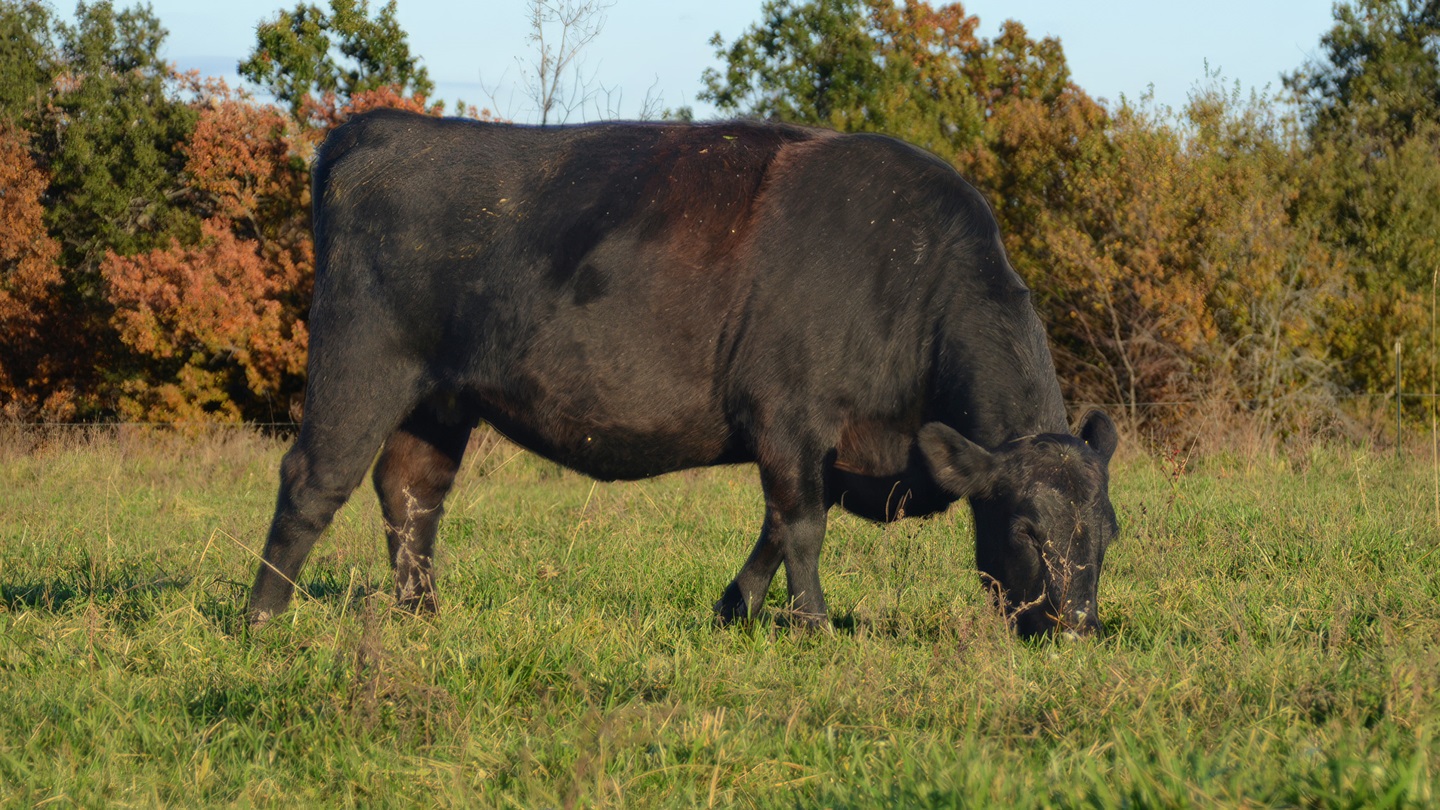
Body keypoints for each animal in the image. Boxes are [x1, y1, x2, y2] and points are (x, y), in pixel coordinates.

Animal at [246, 109, 1120, 639]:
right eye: (1027, 528)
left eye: (1108, 532)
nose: (1077, 628)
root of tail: (384, 128)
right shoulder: (791, 417)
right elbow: (803, 526)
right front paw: (814, 625)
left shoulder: (815, 446)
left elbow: (775, 529)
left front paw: (734, 607)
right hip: (360, 363)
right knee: (313, 483)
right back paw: (262, 620)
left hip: (438, 400)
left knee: (412, 496)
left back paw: (421, 614)